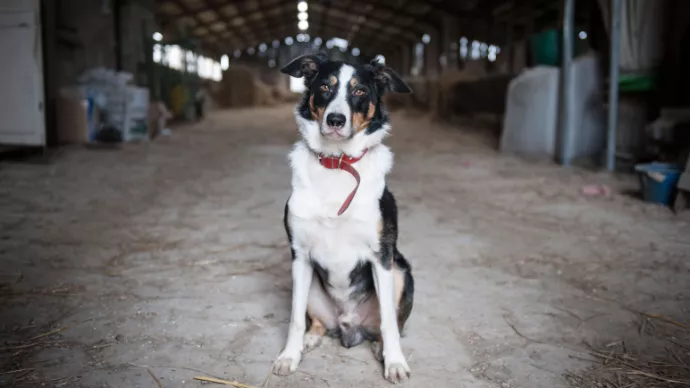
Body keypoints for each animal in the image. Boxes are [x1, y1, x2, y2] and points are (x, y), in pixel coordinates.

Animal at [272, 52, 414, 384]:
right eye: (325, 86)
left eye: (359, 91)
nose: (335, 120)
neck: (337, 164)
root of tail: (350, 327)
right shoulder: (300, 255)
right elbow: (295, 318)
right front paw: (289, 355)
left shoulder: (382, 255)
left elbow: (389, 321)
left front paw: (395, 363)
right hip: (309, 282)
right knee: (316, 322)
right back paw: (310, 339)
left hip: (401, 271)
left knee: (388, 325)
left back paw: (382, 348)